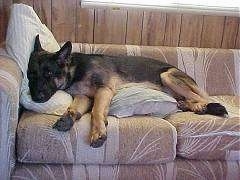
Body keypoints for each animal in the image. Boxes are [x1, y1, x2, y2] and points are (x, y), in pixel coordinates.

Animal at [27, 35, 228, 148]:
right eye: (30, 76)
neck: (74, 70)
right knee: (189, 100)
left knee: (201, 97)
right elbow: (74, 108)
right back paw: (191, 106)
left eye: (49, 74)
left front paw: (98, 131)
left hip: (167, 76)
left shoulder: (104, 90)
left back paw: (202, 106)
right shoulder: (84, 96)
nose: (35, 98)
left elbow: (96, 111)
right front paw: (68, 118)